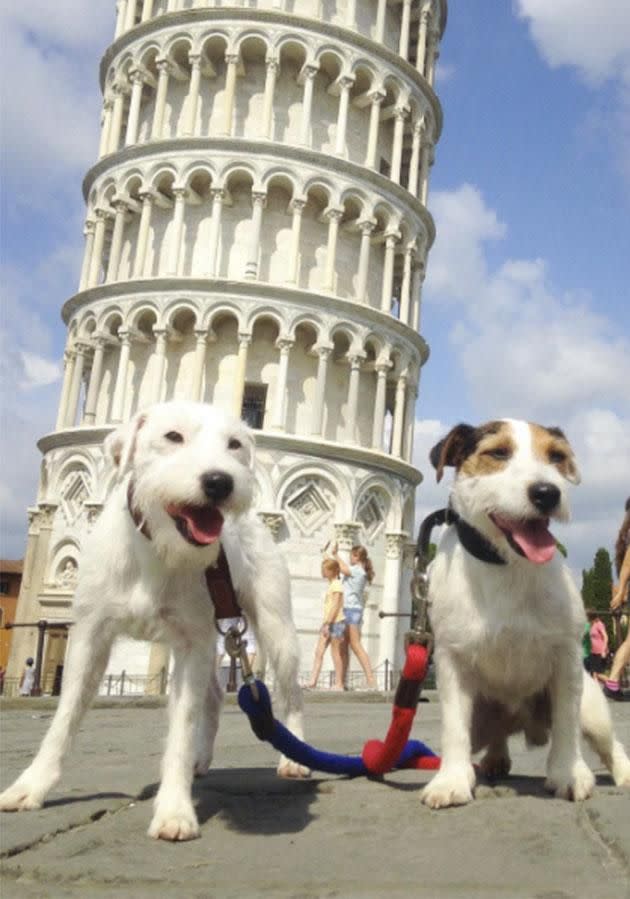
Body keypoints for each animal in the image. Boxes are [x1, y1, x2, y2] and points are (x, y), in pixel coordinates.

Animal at [0, 404, 306, 840]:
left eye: (235, 444)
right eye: (173, 436)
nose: (220, 481)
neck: (158, 547)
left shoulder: (192, 643)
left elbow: (181, 727)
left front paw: (175, 809)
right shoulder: (90, 637)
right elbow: (65, 717)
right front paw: (31, 786)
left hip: (275, 628)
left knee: (291, 692)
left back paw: (293, 757)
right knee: (215, 696)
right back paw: (201, 759)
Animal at [422, 420, 630, 808]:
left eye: (556, 457)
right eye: (497, 453)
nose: (547, 493)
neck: (508, 564)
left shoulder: (566, 659)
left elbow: (565, 724)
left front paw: (567, 773)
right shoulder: (451, 660)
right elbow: (454, 728)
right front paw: (452, 779)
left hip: (593, 707)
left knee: (611, 744)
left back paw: (623, 773)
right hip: (484, 718)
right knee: (489, 737)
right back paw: (494, 759)